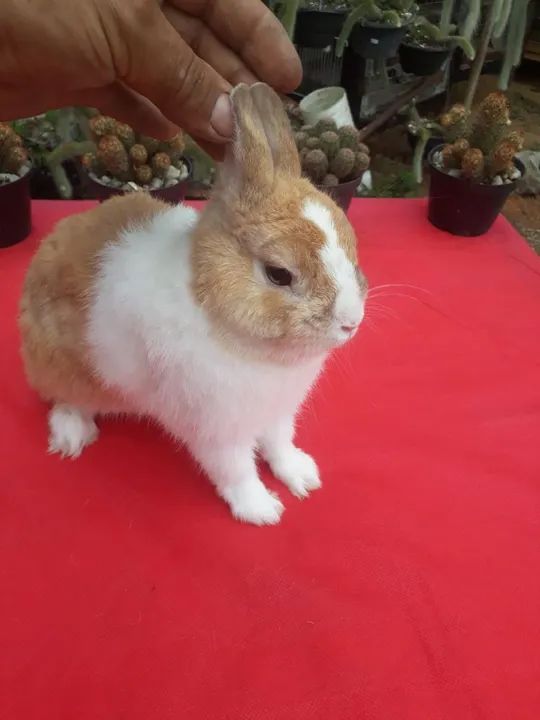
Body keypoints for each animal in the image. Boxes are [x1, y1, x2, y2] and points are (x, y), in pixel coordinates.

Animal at [18, 82, 368, 526]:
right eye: (278, 274)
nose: (351, 322)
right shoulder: (215, 427)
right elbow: (235, 469)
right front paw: (262, 510)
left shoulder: (277, 413)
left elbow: (279, 444)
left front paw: (302, 477)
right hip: (62, 366)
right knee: (64, 399)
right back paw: (72, 436)